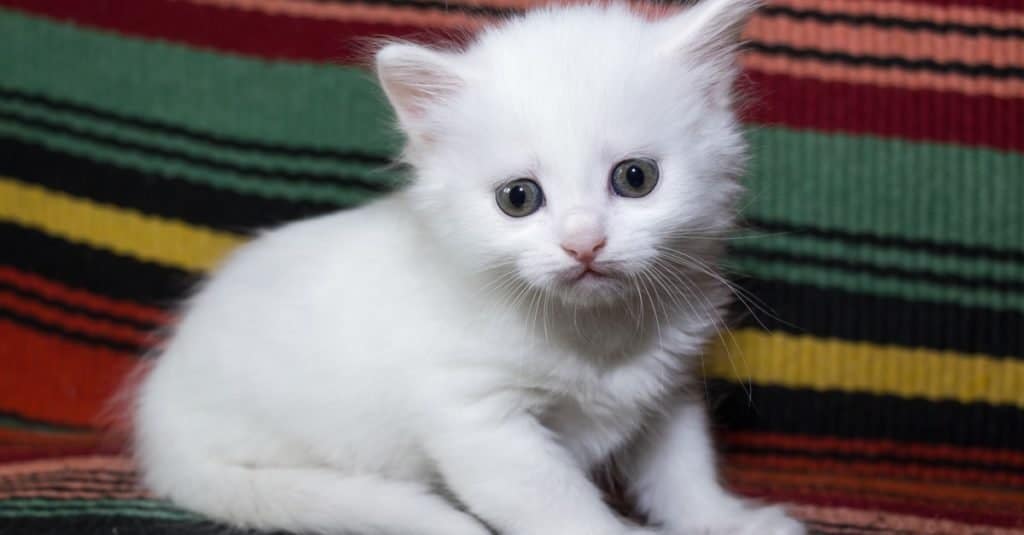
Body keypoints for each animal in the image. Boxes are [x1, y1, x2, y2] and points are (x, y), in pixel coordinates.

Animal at [136, 1, 806, 532]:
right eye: (519, 198)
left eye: (636, 178)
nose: (583, 244)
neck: (596, 339)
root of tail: (159, 433)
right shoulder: (481, 422)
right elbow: (563, 507)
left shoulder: (667, 393)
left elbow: (683, 475)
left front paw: (729, 521)